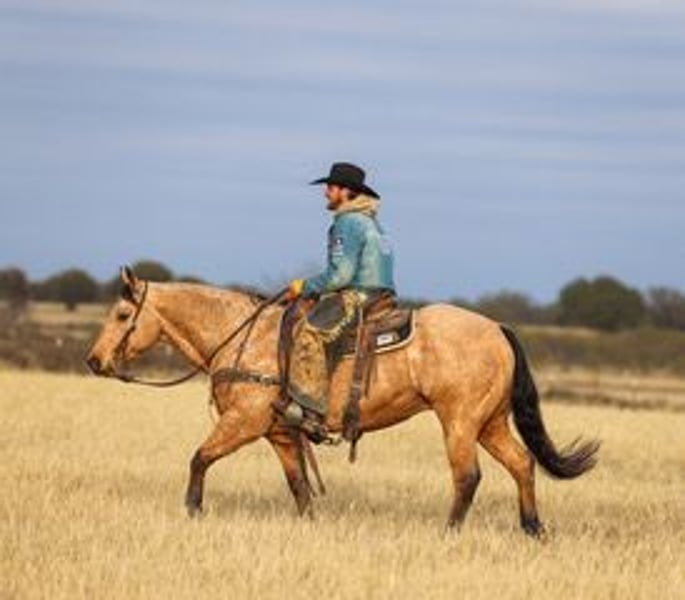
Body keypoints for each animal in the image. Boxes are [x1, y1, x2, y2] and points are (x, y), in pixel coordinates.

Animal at [86, 267, 599, 536]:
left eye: (123, 314)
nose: (94, 360)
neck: (242, 337)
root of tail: (497, 329)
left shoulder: (243, 422)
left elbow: (199, 457)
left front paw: (193, 510)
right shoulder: (279, 433)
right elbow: (299, 486)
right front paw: (310, 524)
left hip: (459, 422)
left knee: (468, 476)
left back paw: (450, 532)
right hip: (490, 423)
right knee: (522, 465)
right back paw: (533, 529)